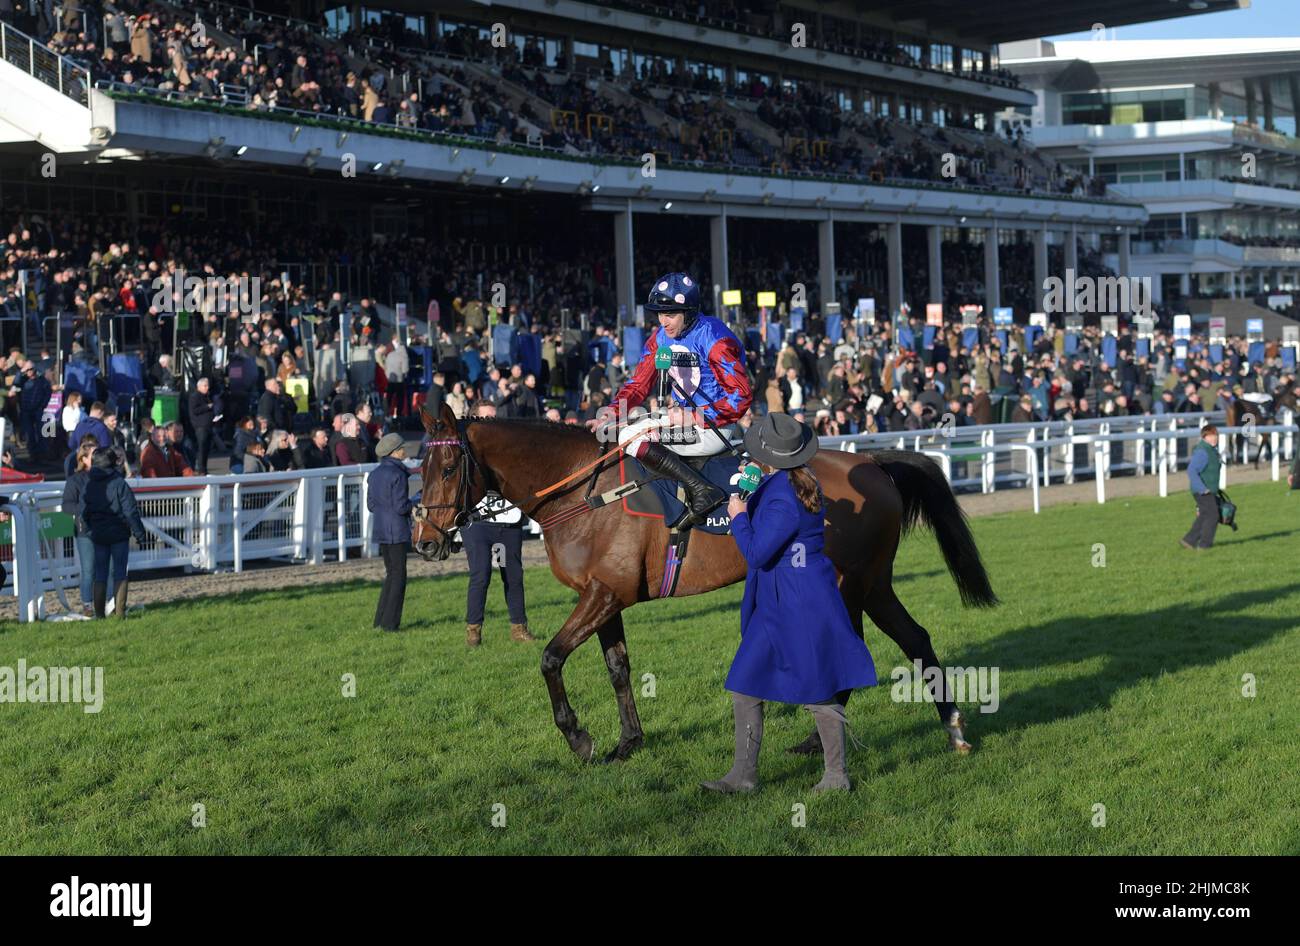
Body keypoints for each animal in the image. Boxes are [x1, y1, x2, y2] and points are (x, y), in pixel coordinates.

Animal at [416, 402, 993, 764]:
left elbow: (550, 658)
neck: (584, 492)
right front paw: (629, 741)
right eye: (418, 468)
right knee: (913, 639)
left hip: (853, 582)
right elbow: (618, 668)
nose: (424, 541)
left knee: (863, 647)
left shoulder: (604, 595)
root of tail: (871, 460)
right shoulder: (604, 598)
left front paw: (579, 738)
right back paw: (945, 729)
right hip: (871, 584)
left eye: (446, 469)